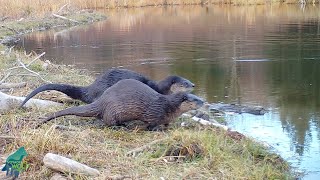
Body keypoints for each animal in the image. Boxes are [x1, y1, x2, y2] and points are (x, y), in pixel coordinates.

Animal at [37, 79, 202, 129]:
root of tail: (102, 101)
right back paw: (121, 126)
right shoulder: (154, 113)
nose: (204, 101)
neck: (168, 106)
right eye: (196, 100)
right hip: (114, 110)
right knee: (108, 122)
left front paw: (168, 126)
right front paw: (156, 129)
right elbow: (151, 124)